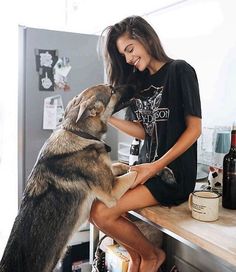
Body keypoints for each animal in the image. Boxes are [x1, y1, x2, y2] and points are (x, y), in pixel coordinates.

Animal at [0, 84, 136, 270]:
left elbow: (124, 166)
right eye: (112, 90)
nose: (133, 85)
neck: (79, 133)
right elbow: (135, 172)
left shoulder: (110, 173)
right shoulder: (112, 191)